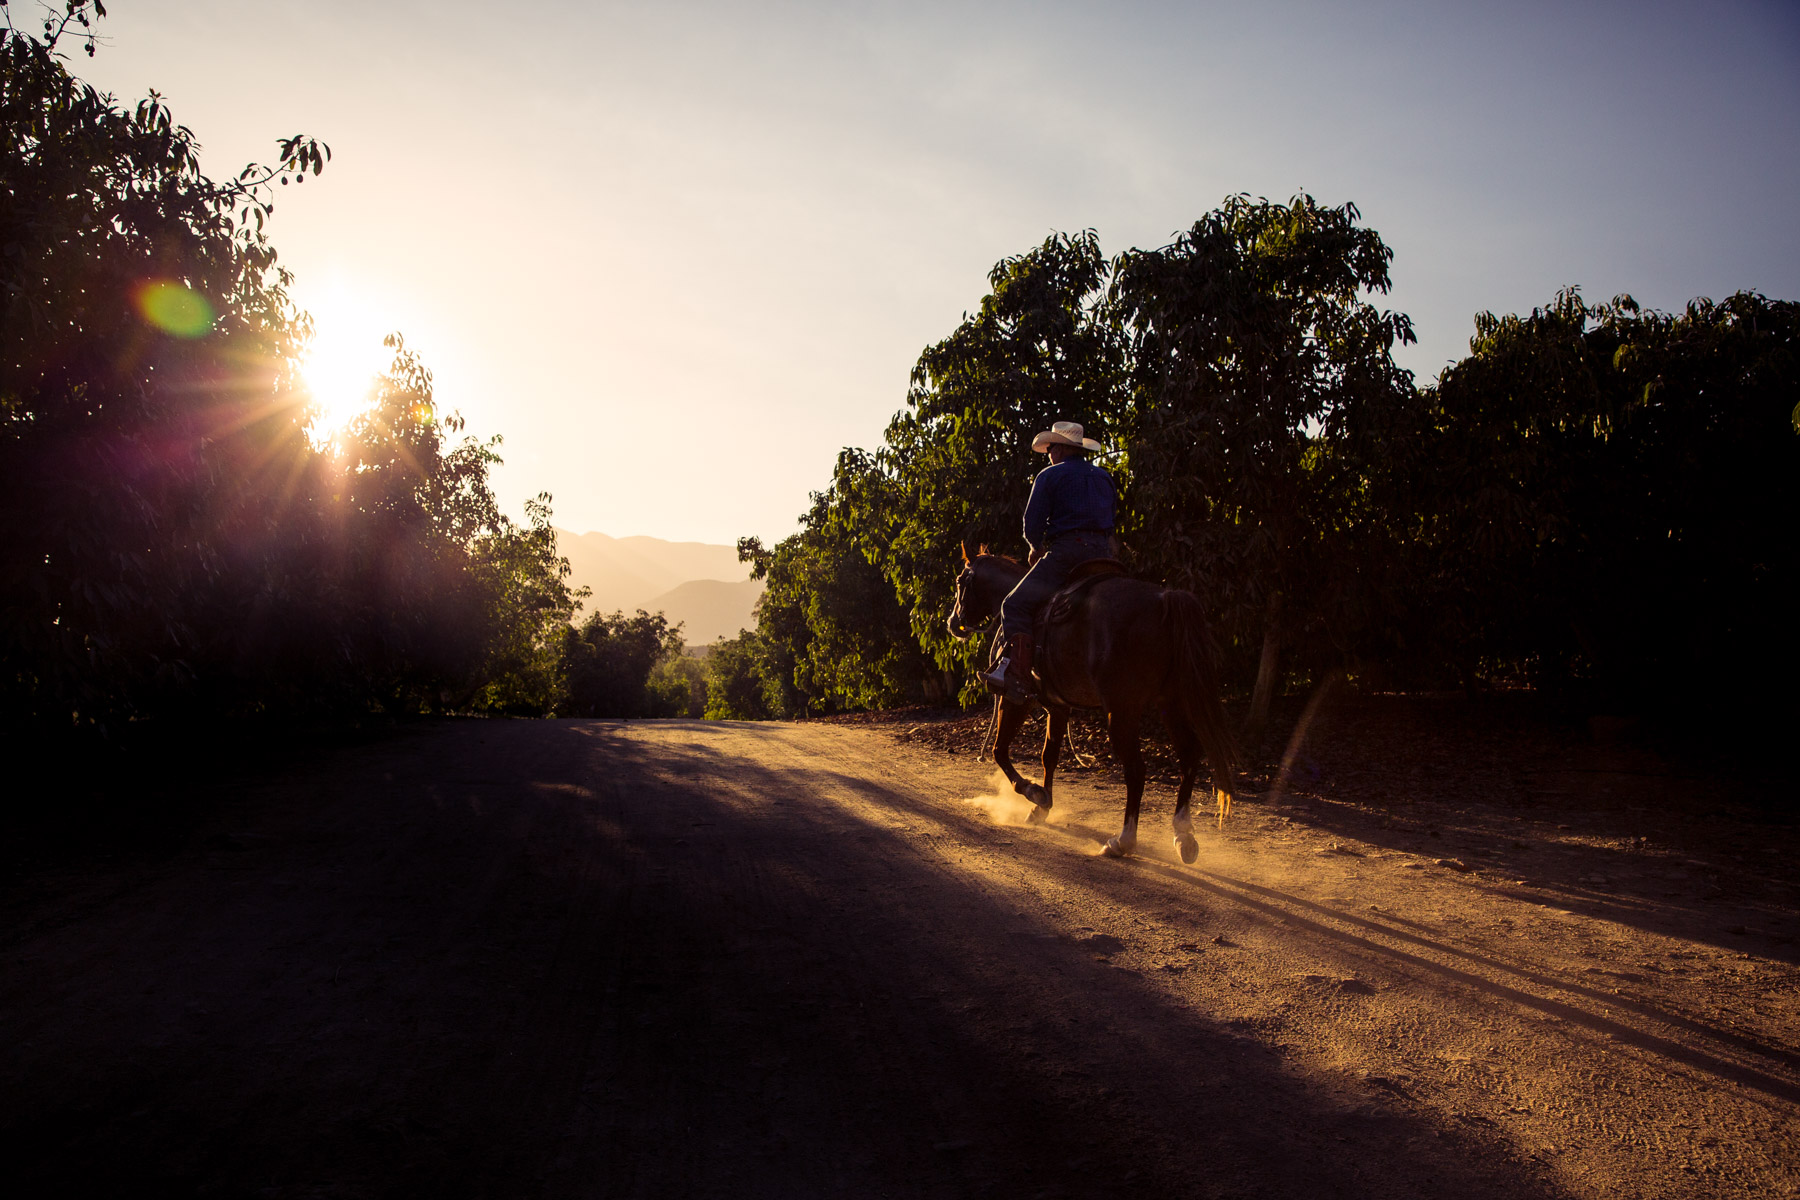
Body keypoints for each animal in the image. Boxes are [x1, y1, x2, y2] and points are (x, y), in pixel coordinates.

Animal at [943, 550, 1238, 859]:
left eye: (960, 581)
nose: (953, 623)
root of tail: (1164, 599)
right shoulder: (1057, 707)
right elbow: (1049, 756)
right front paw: (1041, 807)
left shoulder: (1014, 698)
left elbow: (999, 751)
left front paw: (1033, 791)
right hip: (1171, 704)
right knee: (1189, 756)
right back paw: (1183, 835)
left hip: (1121, 710)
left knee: (1136, 770)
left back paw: (1123, 840)